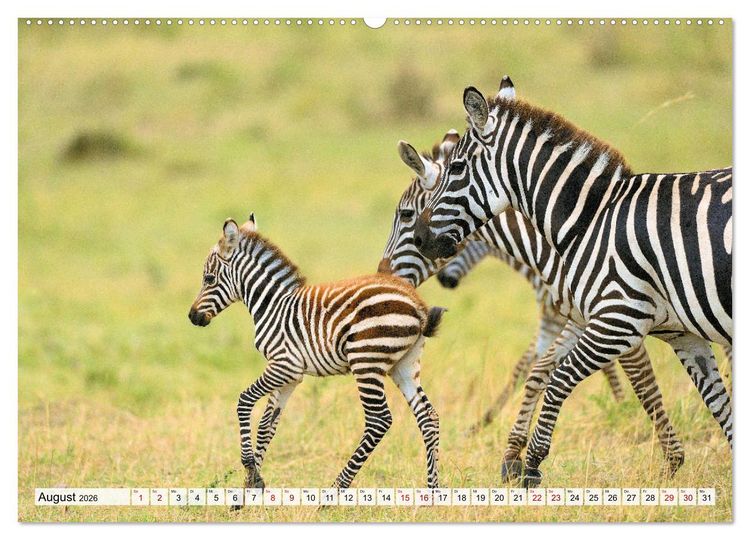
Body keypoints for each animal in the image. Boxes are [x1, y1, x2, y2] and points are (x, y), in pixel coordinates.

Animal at [189, 214, 445, 491]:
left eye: (209, 279)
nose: (192, 317)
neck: (272, 305)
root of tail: (418, 305)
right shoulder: (290, 376)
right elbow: (268, 424)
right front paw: (252, 484)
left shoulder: (284, 365)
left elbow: (244, 402)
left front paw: (249, 468)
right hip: (404, 365)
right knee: (428, 417)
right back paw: (432, 490)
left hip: (366, 361)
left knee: (379, 421)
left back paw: (335, 489)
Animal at [380, 132, 686, 478]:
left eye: (406, 214)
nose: (382, 274)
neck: (547, 246)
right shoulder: (564, 316)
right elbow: (533, 368)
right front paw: (505, 444)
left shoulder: (615, 315)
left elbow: (639, 376)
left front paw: (655, 442)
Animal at [413, 76, 733, 486]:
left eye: (455, 168)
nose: (421, 238)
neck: (591, 219)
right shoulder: (682, 334)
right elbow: (720, 407)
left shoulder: (618, 322)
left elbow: (559, 379)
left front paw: (530, 465)